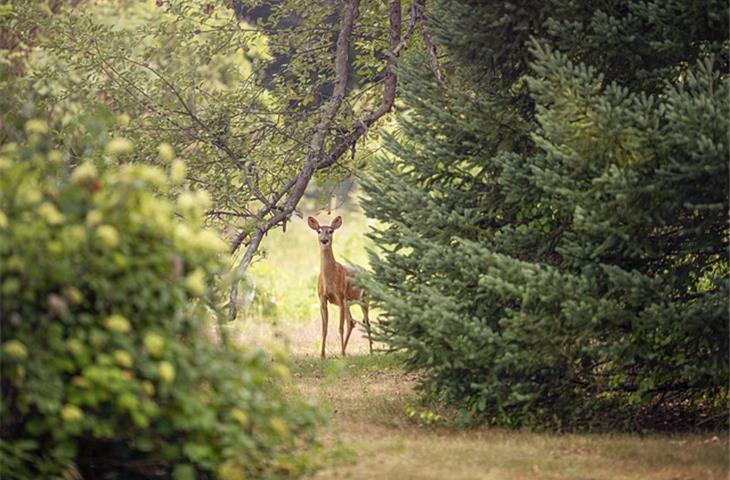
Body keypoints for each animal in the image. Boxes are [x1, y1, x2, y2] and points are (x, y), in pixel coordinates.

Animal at [306, 216, 372, 358]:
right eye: (318, 231)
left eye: (331, 231)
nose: (324, 240)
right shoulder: (322, 299)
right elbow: (324, 329)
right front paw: (322, 355)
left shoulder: (340, 298)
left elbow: (340, 328)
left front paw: (340, 354)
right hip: (349, 303)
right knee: (351, 322)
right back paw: (345, 350)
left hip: (364, 299)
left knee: (367, 323)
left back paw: (370, 351)